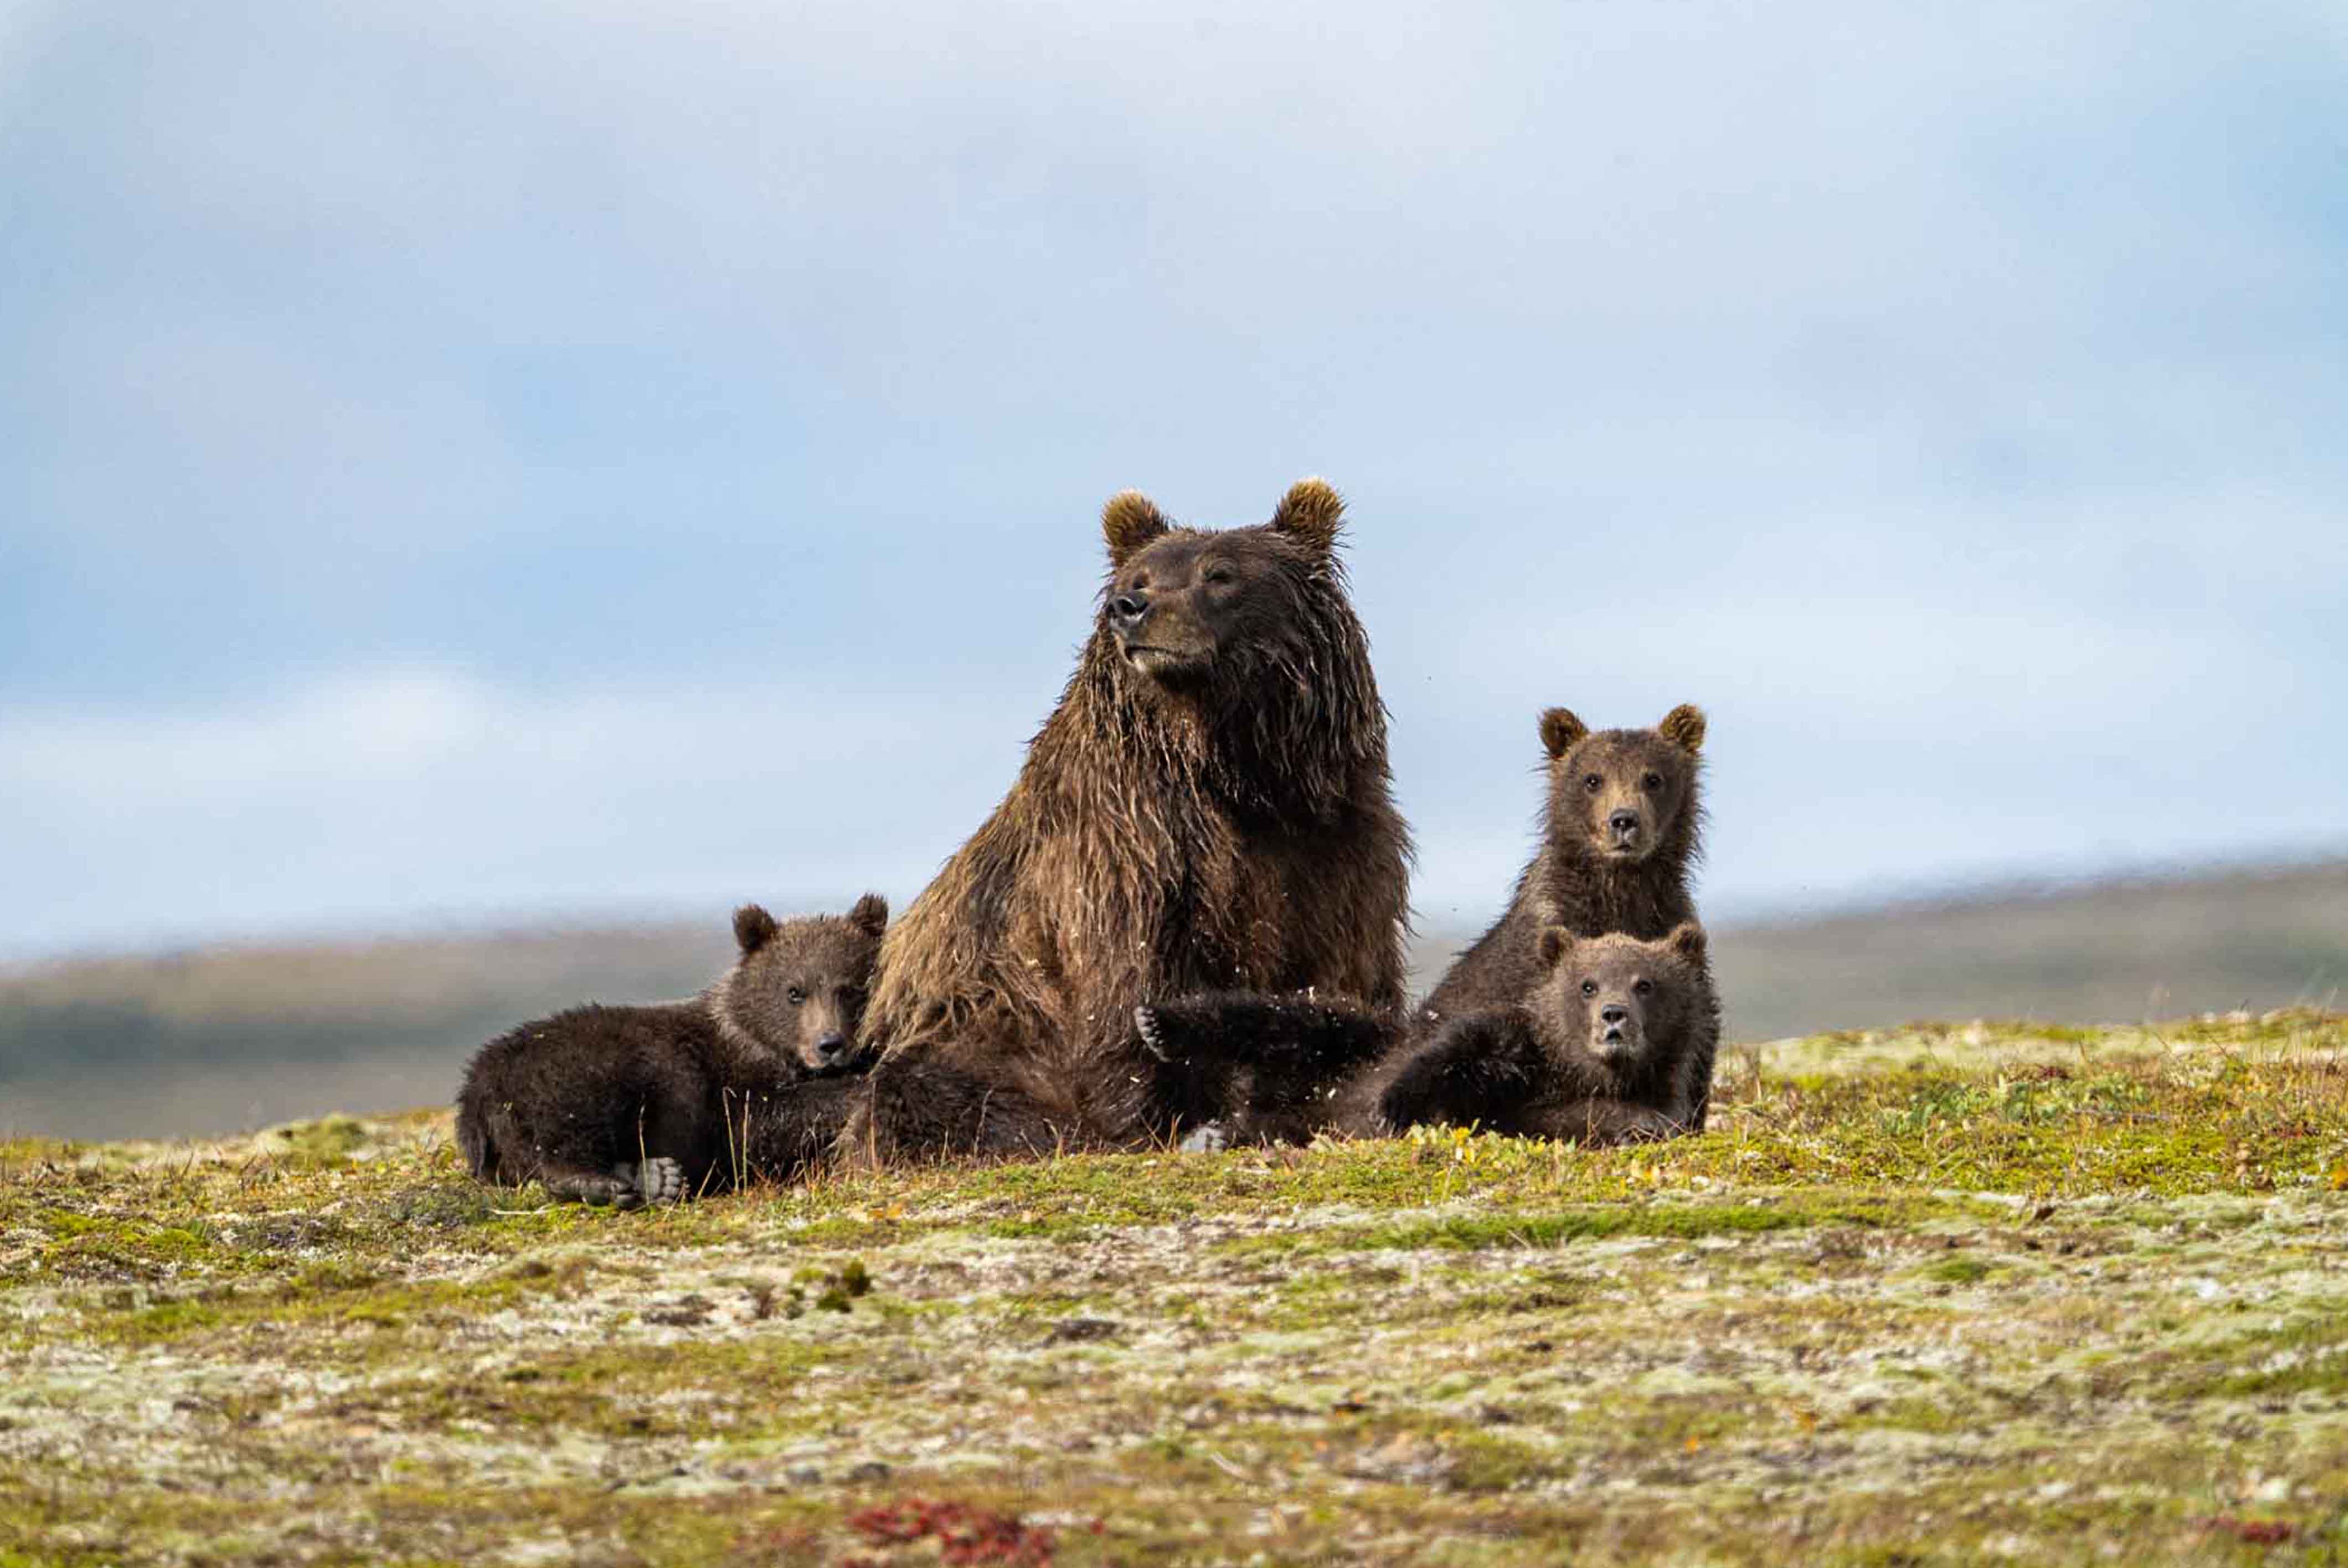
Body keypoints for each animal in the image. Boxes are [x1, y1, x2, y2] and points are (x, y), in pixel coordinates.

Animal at [456, 893, 887, 1206]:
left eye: (850, 988)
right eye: (794, 991)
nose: (829, 1045)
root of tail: (476, 1085)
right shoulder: (727, 1088)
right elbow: (758, 1125)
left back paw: (657, 1178)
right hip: (575, 1068)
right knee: (568, 1123)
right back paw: (596, 1182)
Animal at [839, 479, 1413, 1163]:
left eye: (1220, 574)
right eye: (1140, 575)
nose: (1130, 607)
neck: (1235, 769)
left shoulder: (1336, 843)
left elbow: (1342, 972)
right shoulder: (1129, 847)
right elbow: (1120, 991)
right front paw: (1143, 1120)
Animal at [1376, 924, 1719, 1144]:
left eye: (1644, 984)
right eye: (1588, 985)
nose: (1613, 1015)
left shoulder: (1667, 1087)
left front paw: (1637, 1128)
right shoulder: (1517, 1051)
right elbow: (1459, 1051)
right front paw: (1395, 1107)